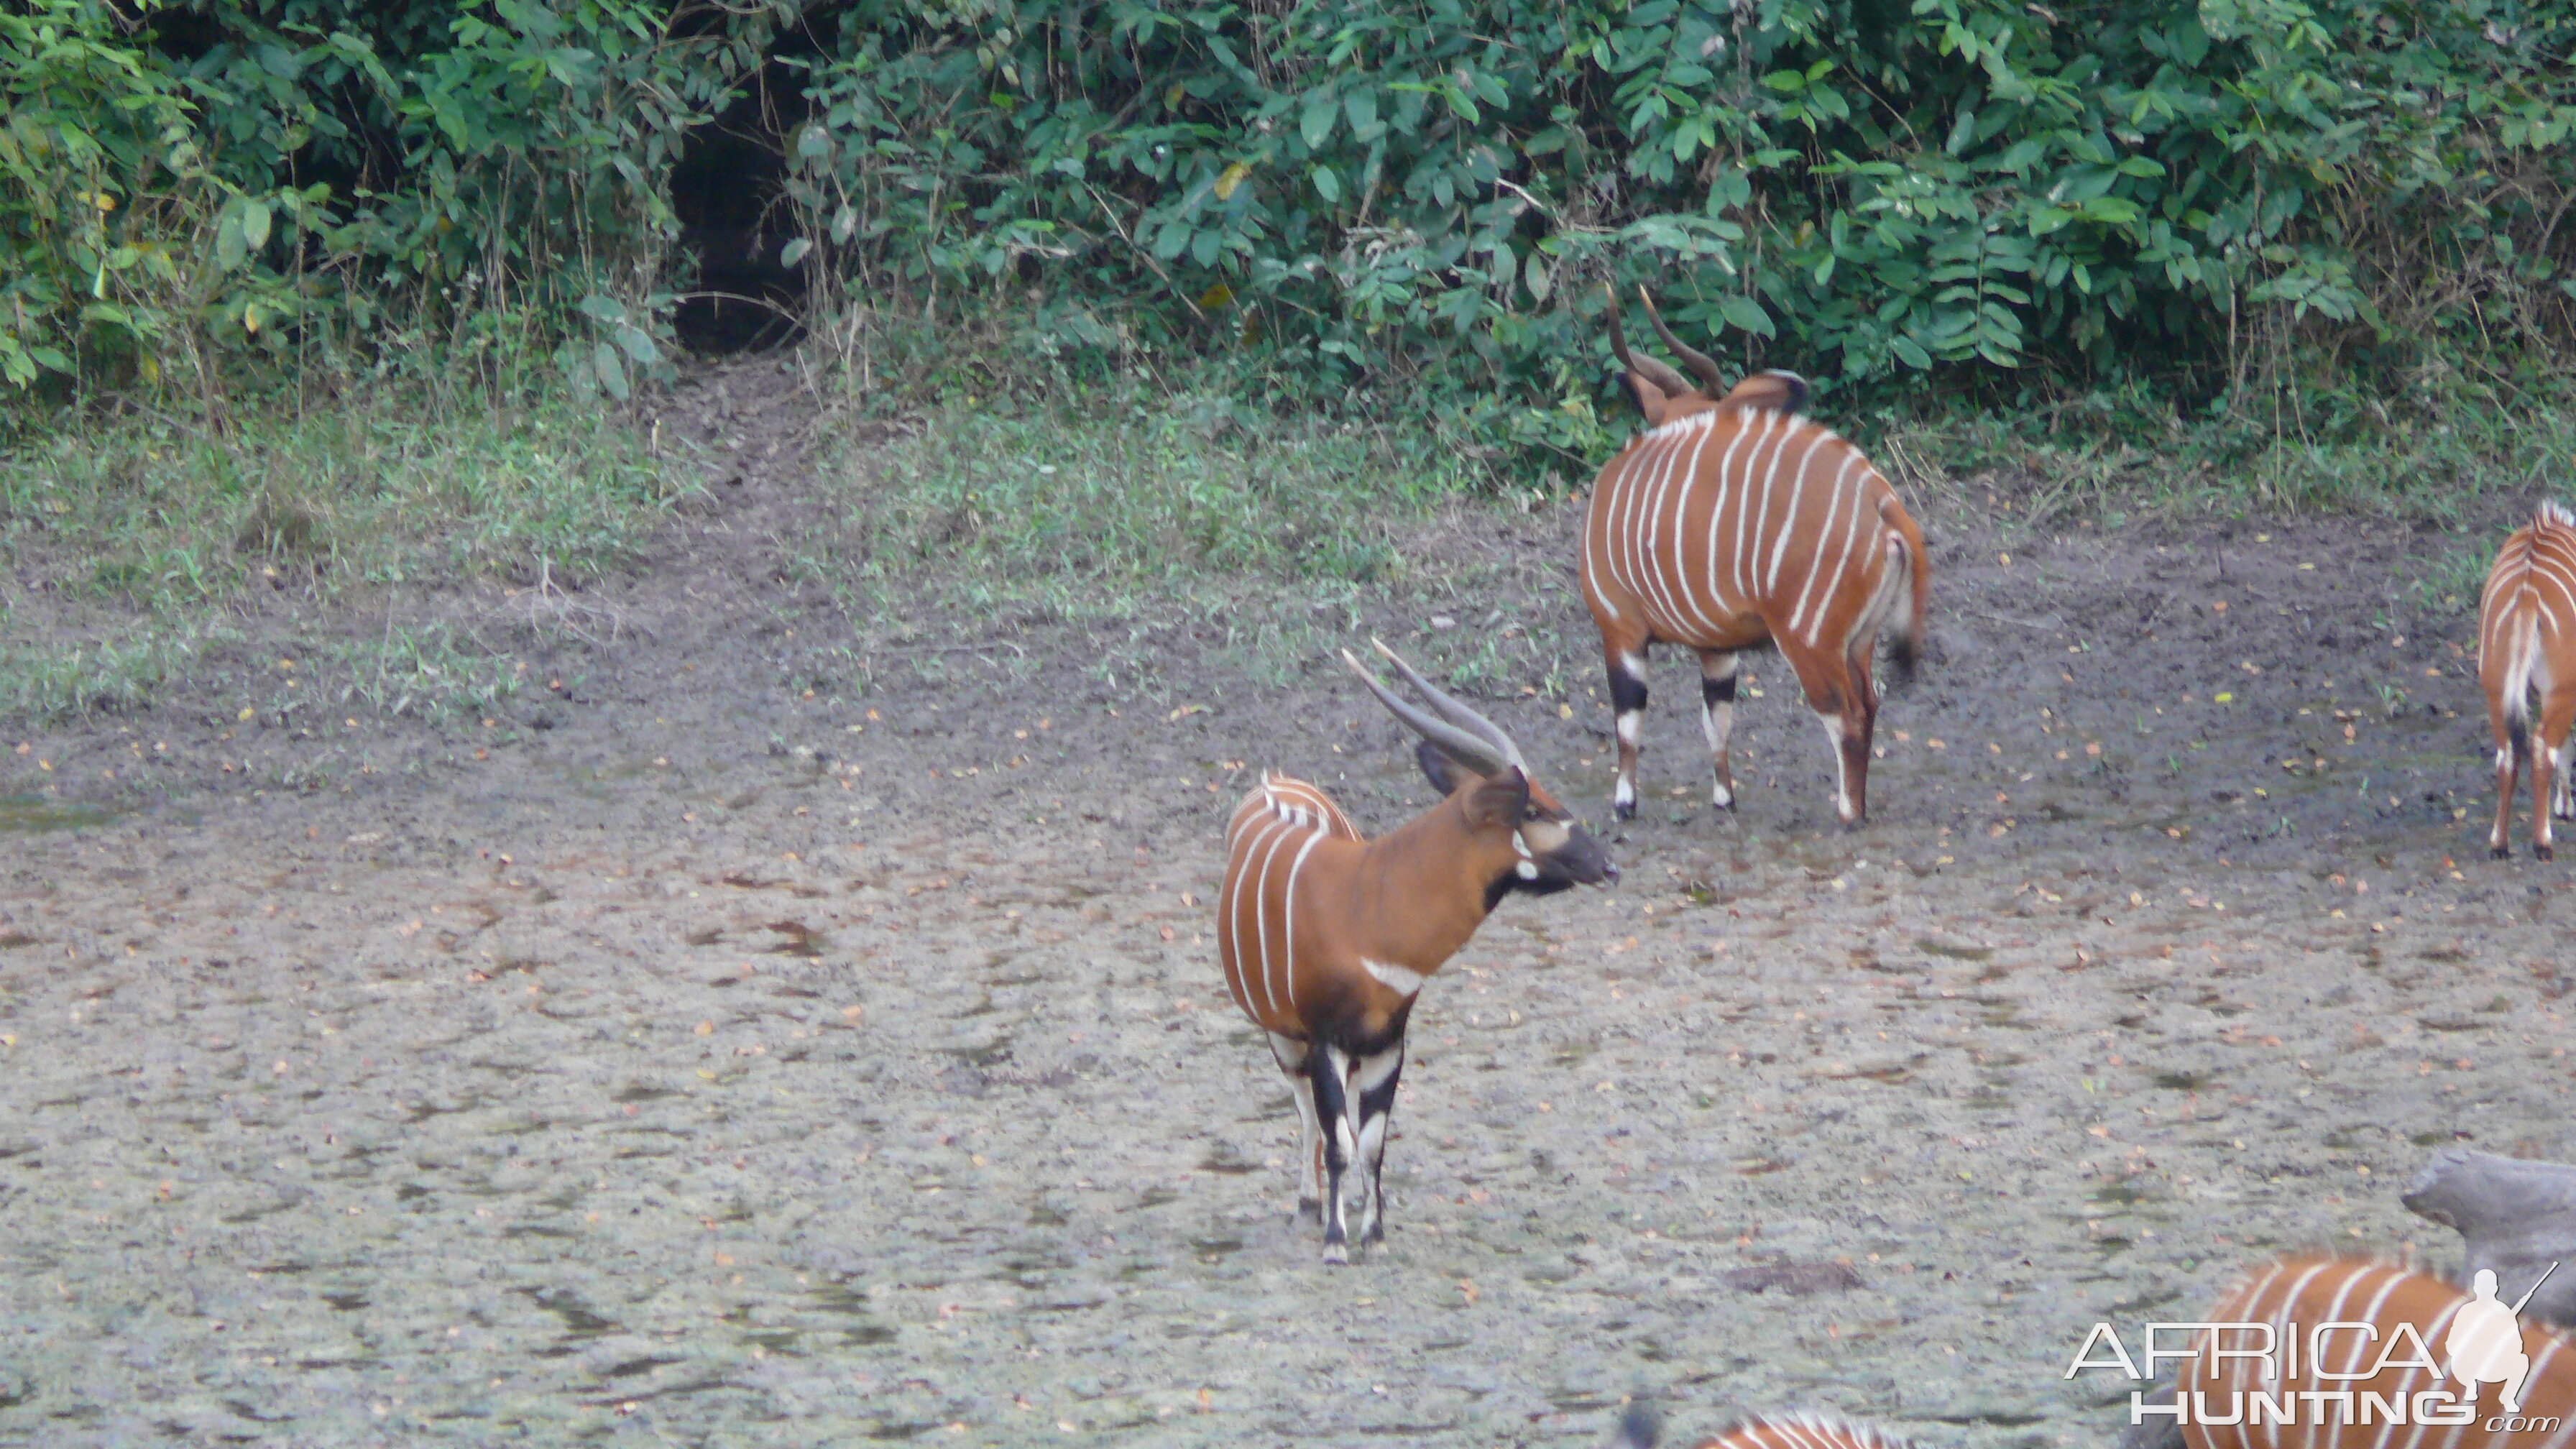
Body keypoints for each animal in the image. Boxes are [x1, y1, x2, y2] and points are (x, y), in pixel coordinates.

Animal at [1220, 637, 1617, 1258]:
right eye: (1531, 810)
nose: (1607, 865)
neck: (1368, 906)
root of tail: (1273, 784)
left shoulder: (1389, 1039)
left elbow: (1372, 1142)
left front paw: (1375, 1233)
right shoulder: (1325, 1037)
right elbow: (1338, 1139)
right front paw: (1336, 1241)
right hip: (1282, 1035)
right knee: (1307, 1111)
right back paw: (1309, 1205)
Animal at [1566, 286, 1937, 819]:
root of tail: (1880, 500)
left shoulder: (1621, 628)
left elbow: (1629, 723)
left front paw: (1624, 804)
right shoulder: (1717, 647)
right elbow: (1717, 720)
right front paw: (1724, 798)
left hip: (1809, 641)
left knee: (1845, 716)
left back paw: (1848, 815)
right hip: (1858, 641)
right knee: (1869, 706)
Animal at [2472, 502, 2576, 850]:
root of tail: (2528, 595)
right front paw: (2565, 808)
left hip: (2496, 689)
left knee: (2508, 753)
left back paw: (2499, 844)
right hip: (2562, 689)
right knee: (2544, 748)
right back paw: (2543, 842)